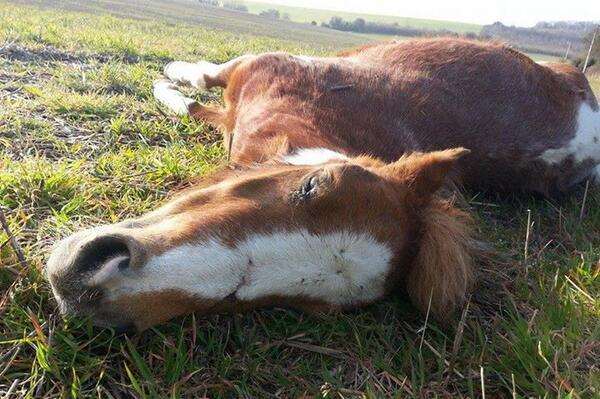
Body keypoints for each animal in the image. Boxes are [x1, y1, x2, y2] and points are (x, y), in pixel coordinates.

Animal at [48, 36, 600, 332]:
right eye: (313, 185)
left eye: (298, 304)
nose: (92, 284)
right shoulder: (252, 68)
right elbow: (200, 82)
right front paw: (166, 76)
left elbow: (195, 99)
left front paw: (165, 83)